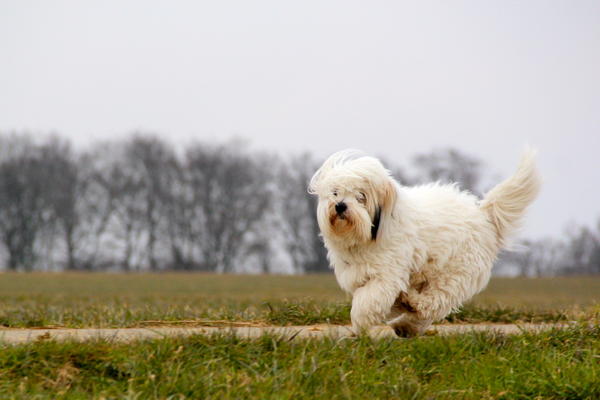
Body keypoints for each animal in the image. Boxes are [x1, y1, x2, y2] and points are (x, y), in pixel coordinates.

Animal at [310, 148, 540, 336]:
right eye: (335, 192)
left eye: (361, 196)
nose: (340, 205)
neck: (367, 236)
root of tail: (484, 214)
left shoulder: (385, 275)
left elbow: (368, 301)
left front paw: (360, 324)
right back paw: (406, 322)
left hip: (455, 273)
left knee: (433, 302)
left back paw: (411, 306)